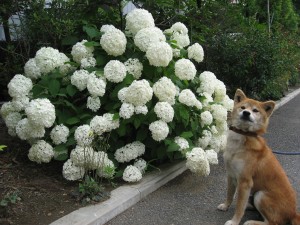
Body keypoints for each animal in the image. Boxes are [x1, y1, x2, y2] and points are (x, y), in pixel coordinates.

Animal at [218, 89, 300, 225]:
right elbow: (229, 194)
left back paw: (251, 222)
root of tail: (293, 213)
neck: (242, 137)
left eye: (255, 110)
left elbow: (239, 207)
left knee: (272, 222)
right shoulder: (231, 175)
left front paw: (234, 221)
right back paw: (249, 206)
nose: (246, 113)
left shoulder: (245, 182)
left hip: (260, 195)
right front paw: (226, 206)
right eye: (243, 107)